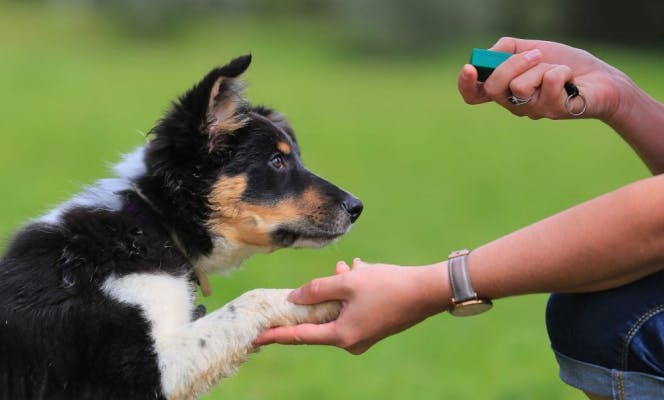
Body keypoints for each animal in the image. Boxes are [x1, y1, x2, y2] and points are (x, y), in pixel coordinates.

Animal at [0, 55, 364, 400]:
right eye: (277, 161)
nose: (357, 207)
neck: (153, 224)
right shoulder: (145, 371)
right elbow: (251, 300)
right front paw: (325, 298)